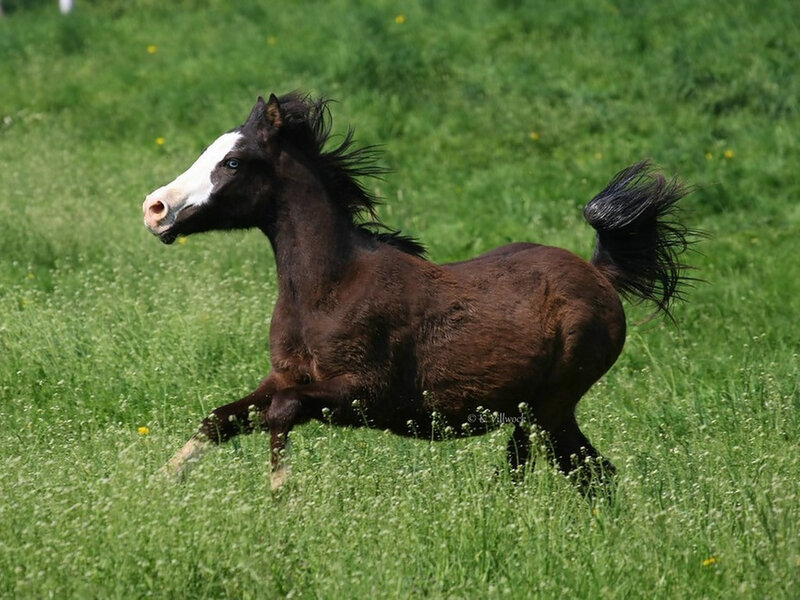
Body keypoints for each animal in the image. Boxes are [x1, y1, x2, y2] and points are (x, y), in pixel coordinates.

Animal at [143, 92, 697, 492]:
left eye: (234, 162)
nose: (155, 208)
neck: (329, 289)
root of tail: (600, 274)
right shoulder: (284, 376)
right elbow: (219, 420)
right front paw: (158, 482)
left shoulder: (361, 393)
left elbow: (281, 414)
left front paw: (283, 493)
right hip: (532, 412)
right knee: (563, 473)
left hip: (552, 406)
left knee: (587, 474)